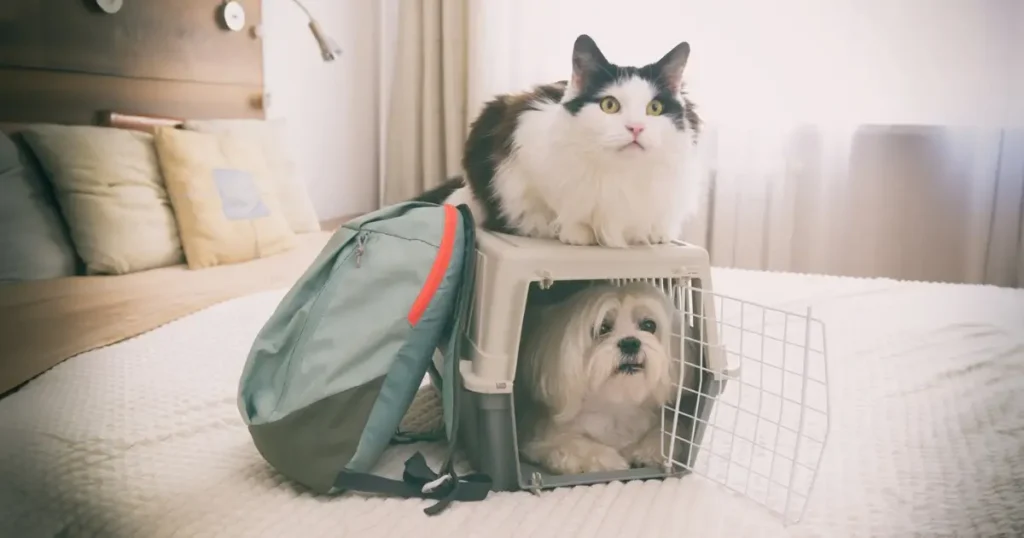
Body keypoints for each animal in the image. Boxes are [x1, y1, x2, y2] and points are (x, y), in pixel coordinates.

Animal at [415, 34, 704, 249]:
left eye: (654, 108)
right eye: (609, 105)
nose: (636, 127)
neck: (620, 172)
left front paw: (656, 233)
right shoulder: (521, 145)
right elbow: (546, 204)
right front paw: (573, 231)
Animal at [512, 280, 679, 473]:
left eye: (649, 325)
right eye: (603, 328)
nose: (630, 343)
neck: (615, 402)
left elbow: (664, 433)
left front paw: (648, 452)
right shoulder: (542, 438)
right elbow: (573, 444)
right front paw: (608, 460)